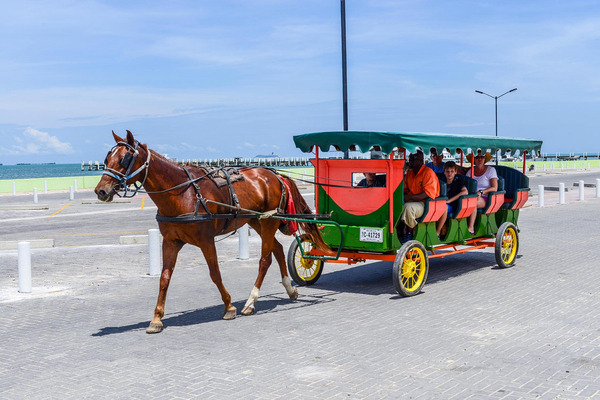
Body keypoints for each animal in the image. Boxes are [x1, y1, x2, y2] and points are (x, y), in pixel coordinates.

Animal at [95, 130, 326, 332]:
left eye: (124, 159)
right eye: (106, 159)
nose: (101, 191)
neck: (183, 193)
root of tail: (273, 174)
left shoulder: (206, 240)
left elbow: (215, 273)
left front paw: (229, 306)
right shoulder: (170, 241)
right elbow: (164, 277)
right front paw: (157, 318)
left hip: (268, 222)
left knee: (265, 259)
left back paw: (251, 301)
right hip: (256, 220)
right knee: (276, 249)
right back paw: (290, 289)